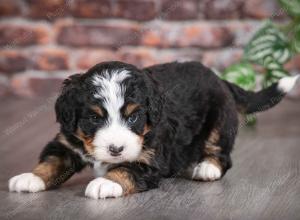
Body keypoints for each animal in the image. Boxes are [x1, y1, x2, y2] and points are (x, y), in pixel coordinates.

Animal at [8, 60, 298, 199]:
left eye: (134, 117)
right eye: (94, 118)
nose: (116, 149)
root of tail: (219, 78)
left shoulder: (151, 158)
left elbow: (126, 169)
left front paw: (105, 183)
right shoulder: (67, 140)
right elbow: (52, 160)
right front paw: (30, 178)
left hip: (220, 120)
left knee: (221, 152)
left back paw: (207, 167)